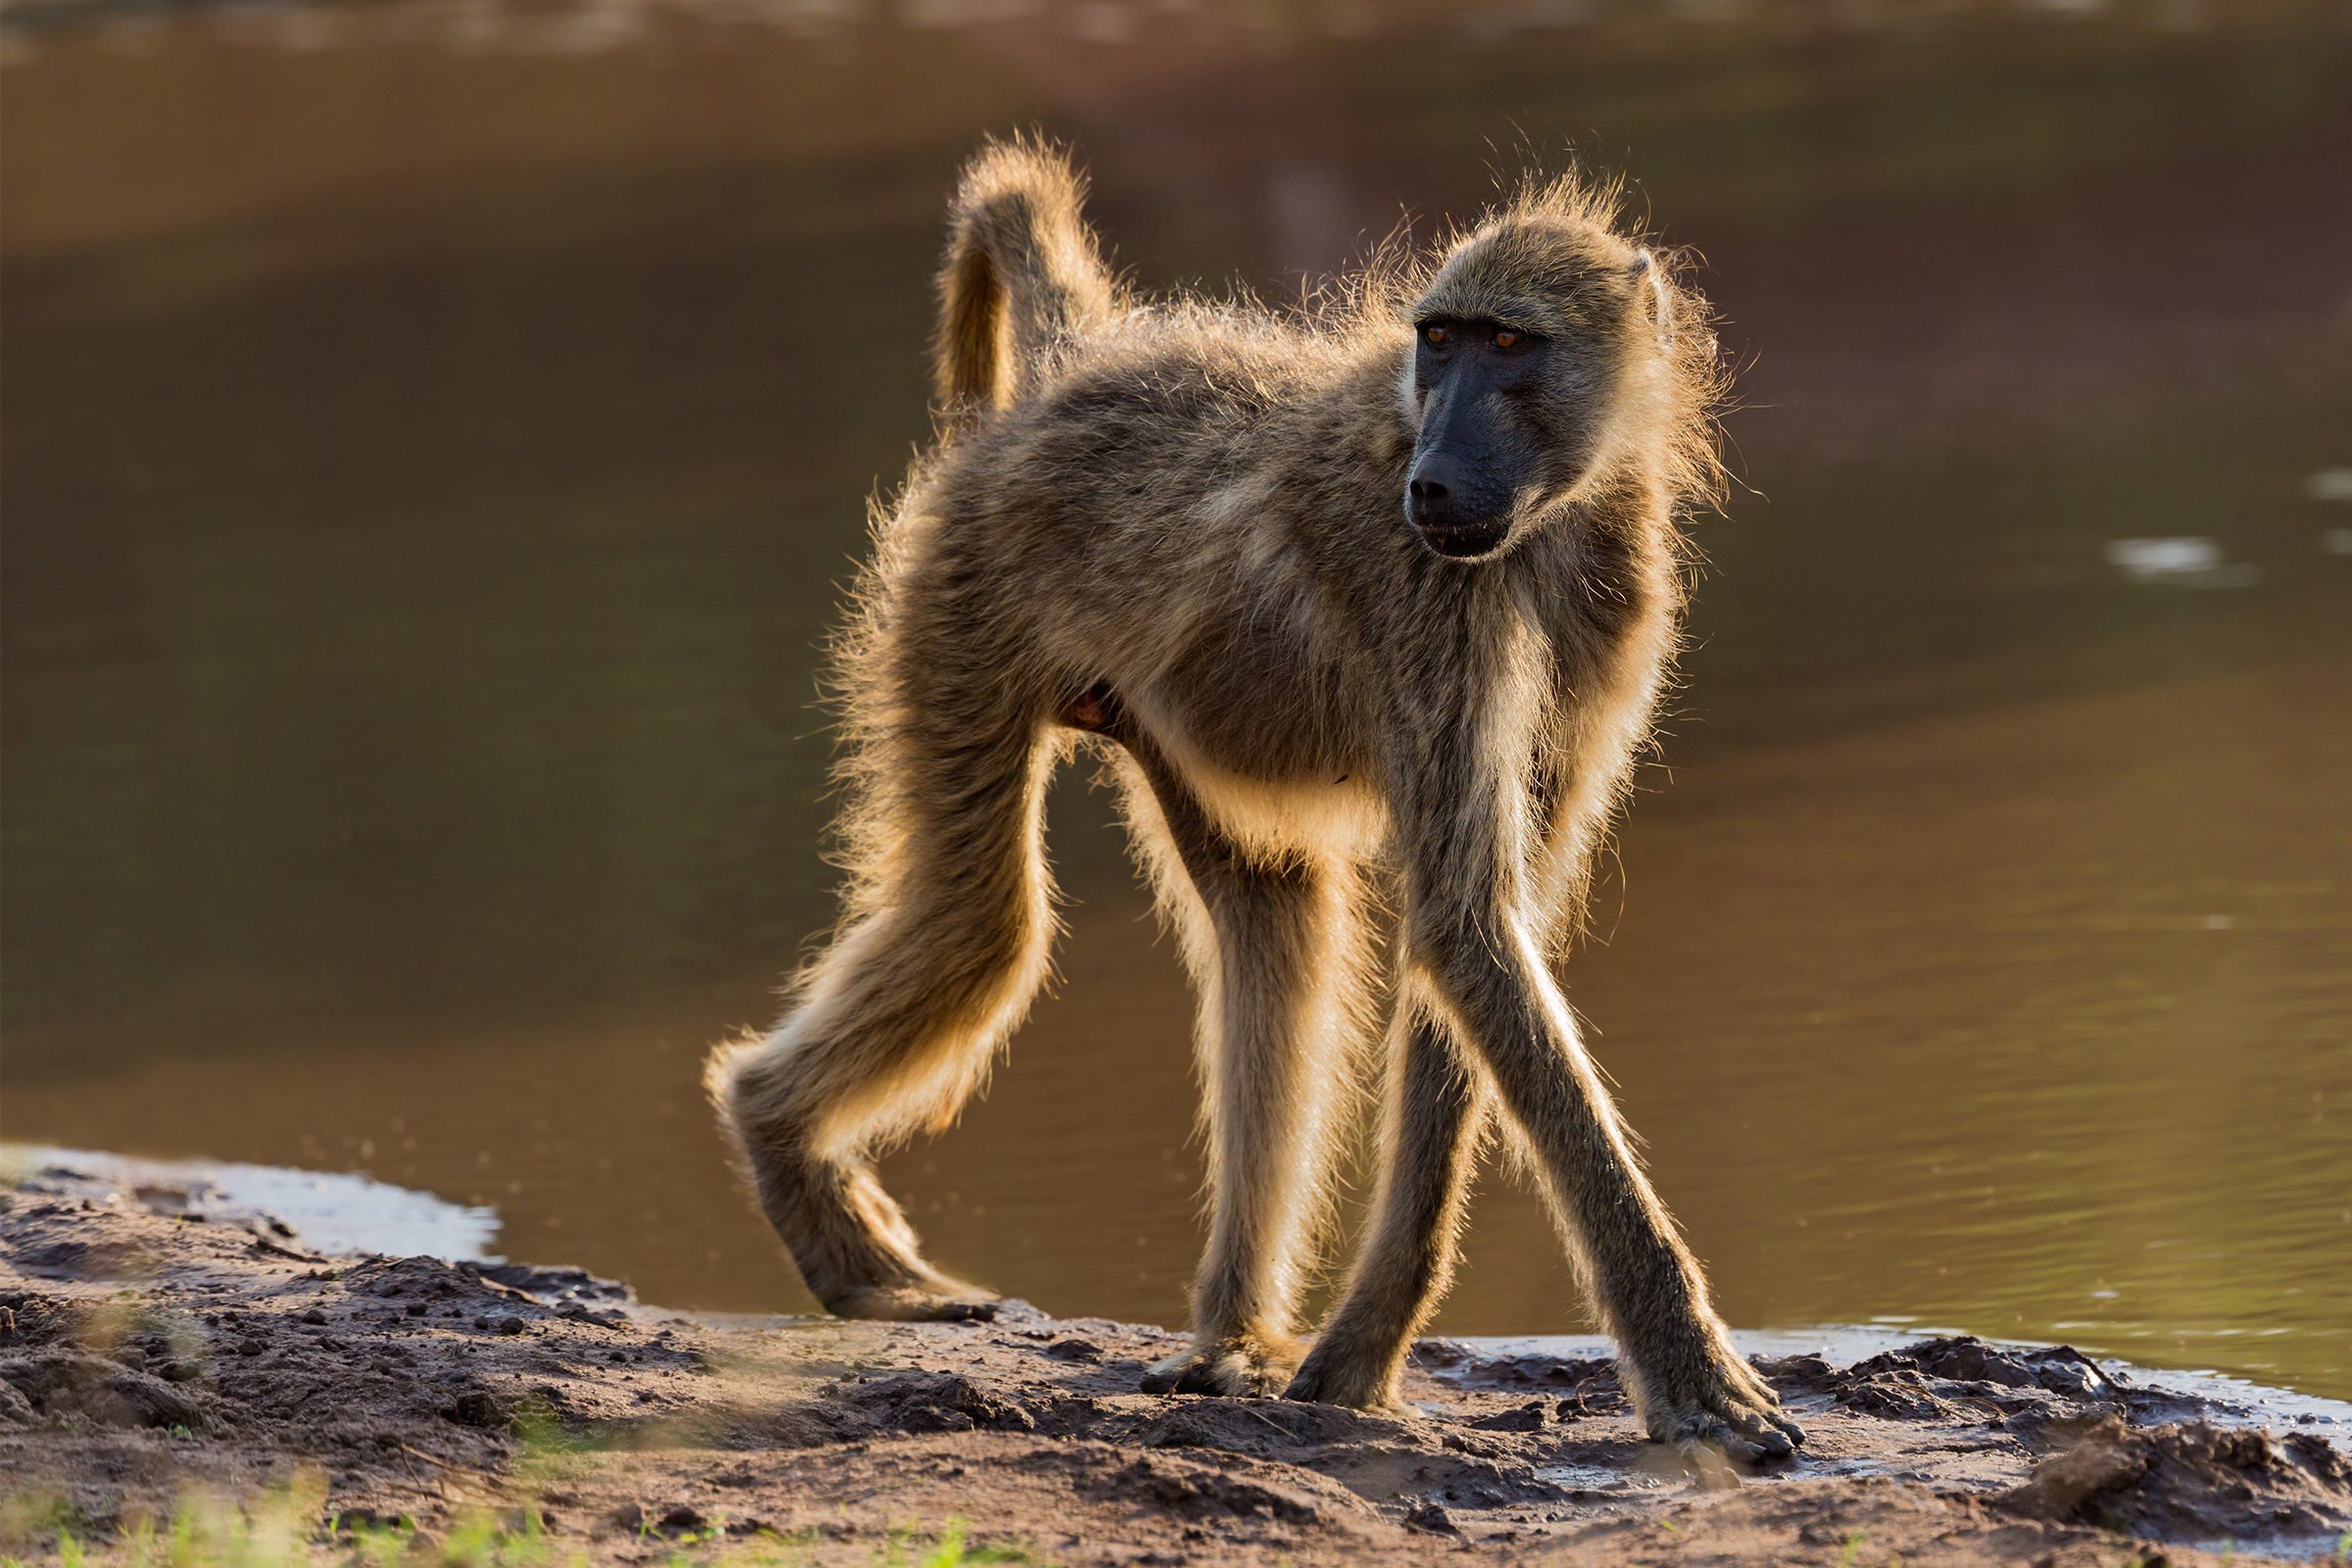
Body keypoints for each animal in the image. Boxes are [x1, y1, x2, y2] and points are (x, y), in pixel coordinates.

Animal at [705, 137, 1803, 1463]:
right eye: (1438, 341)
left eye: (1507, 344)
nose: (1434, 487)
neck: (1551, 518)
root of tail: (1071, 377)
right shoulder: (1430, 602)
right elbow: (1469, 931)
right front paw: (1696, 1380)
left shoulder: (1608, 605)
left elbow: (1476, 944)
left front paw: (1361, 1350)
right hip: (962, 595)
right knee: (984, 927)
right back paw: (811, 1188)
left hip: (1150, 702)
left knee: (1273, 925)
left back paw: (1231, 1332)